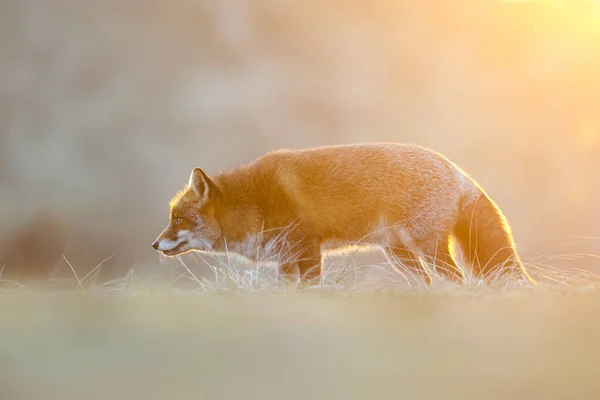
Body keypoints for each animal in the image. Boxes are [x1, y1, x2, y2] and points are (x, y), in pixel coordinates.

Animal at [154, 143, 536, 284]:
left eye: (178, 220)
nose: (155, 244)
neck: (254, 203)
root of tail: (458, 171)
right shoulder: (286, 259)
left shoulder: (307, 248)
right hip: (400, 256)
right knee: (428, 283)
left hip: (429, 250)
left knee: (456, 281)